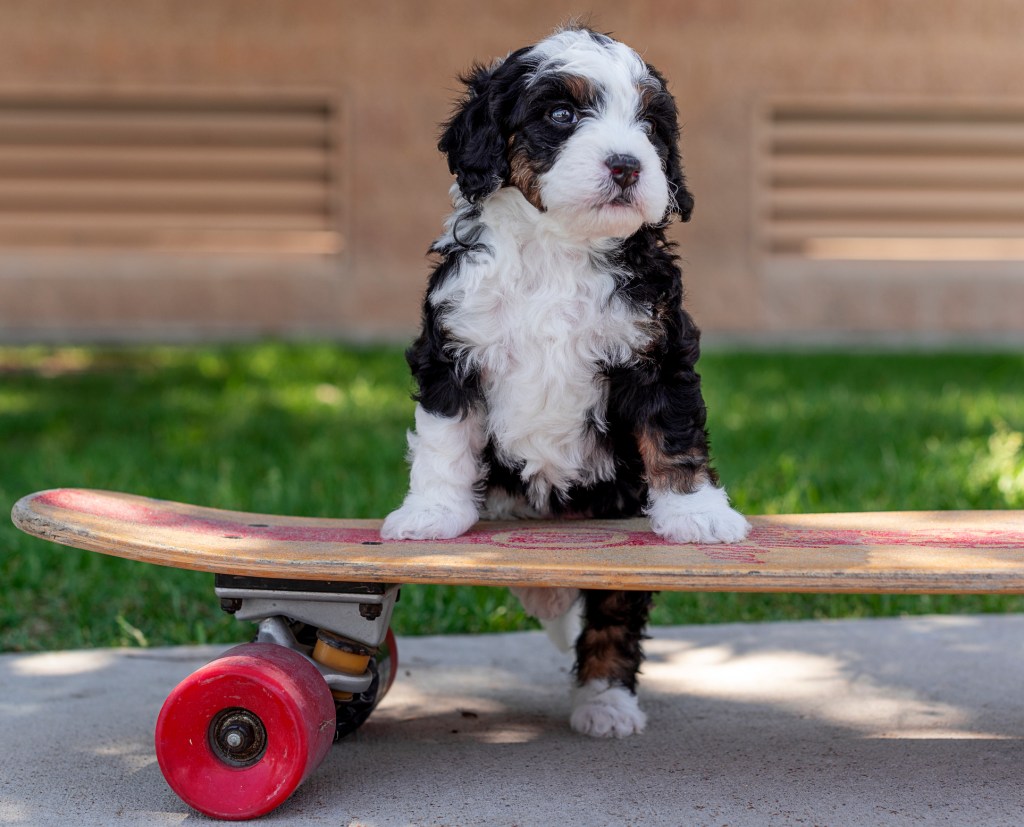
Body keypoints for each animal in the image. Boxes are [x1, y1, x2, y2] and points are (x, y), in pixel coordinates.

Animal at [380, 24, 749, 736]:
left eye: (650, 125)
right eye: (560, 115)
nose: (627, 166)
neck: (558, 248)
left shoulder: (658, 351)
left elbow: (675, 437)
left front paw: (697, 514)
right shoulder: (453, 347)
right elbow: (442, 440)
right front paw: (431, 513)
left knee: (611, 615)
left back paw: (604, 700)